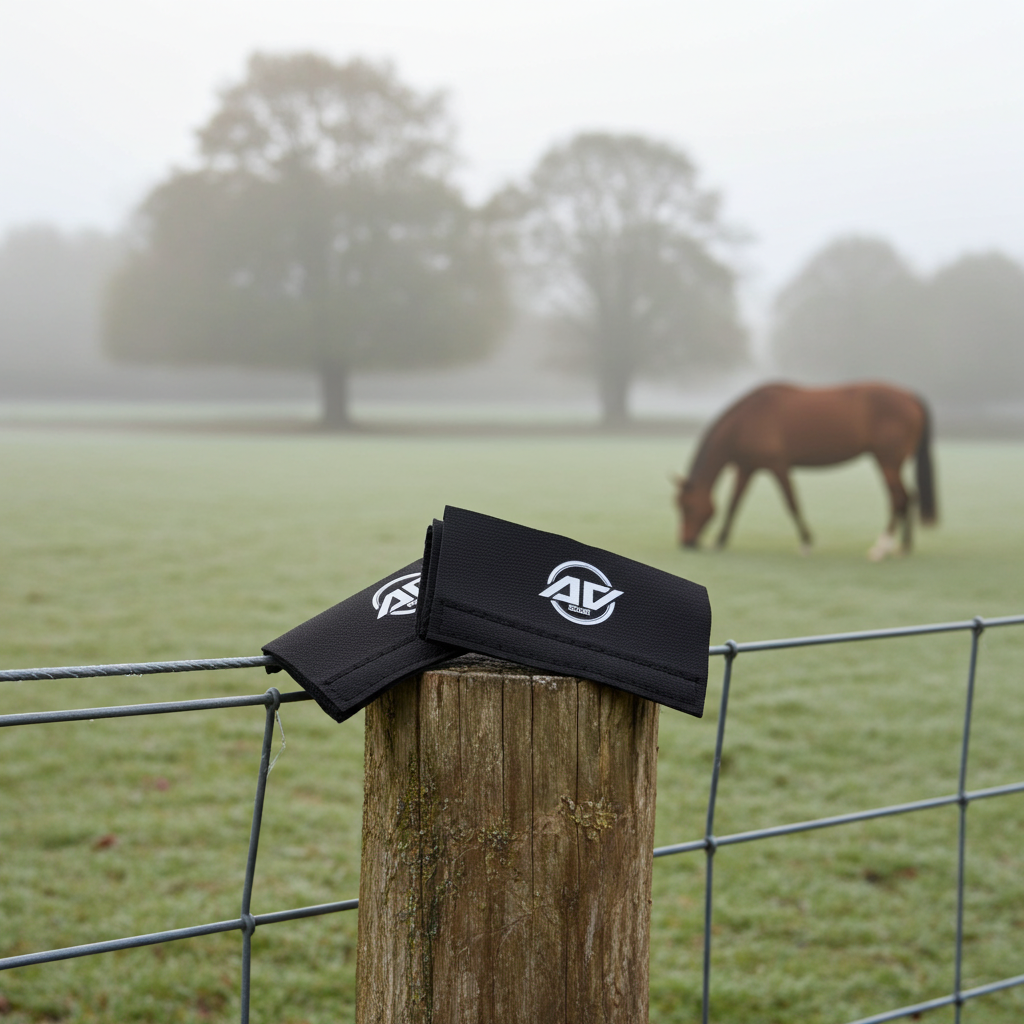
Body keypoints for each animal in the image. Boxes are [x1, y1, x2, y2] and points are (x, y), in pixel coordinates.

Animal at [673, 382, 937, 559]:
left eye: (688, 506)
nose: (686, 542)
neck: (747, 419)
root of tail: (911, 397)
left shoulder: (778, 466)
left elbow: (792, 503)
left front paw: (806, 542)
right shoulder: (747, 468)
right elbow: (734, 505)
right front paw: (719, 541)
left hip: (887, 461)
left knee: (899, 498)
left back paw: (881, 548)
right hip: (892, 463)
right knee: (908, 497)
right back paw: (903, 547)